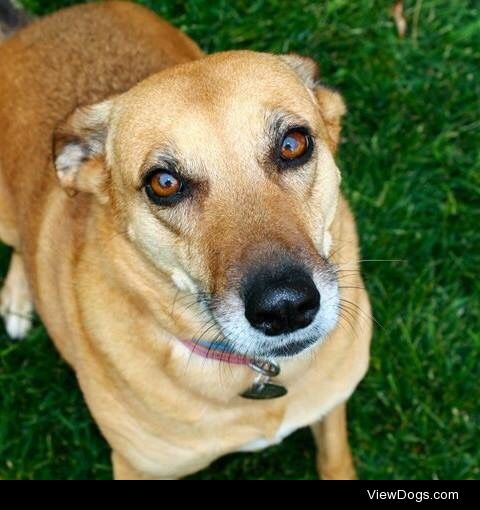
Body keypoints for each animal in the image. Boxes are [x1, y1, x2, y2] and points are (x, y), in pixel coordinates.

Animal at [0, 0, 374, 478]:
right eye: (163, 183)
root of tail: (37, 26)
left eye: (293, 143)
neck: (257, 375)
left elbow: (335, 458)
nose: (285, 307)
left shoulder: (331, 406)